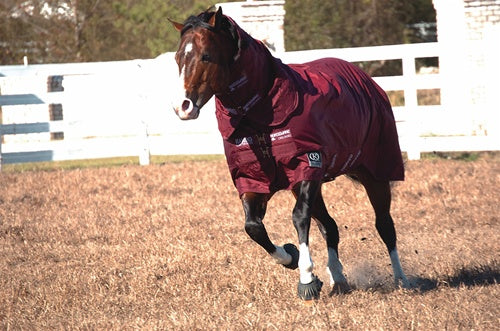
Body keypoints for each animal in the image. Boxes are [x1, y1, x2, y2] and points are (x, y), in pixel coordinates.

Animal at [169, 7, 410, 300]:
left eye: (206, 55)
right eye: (178, 57)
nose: (182, 106)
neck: (260, 114)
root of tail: (364, 76)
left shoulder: (307, 165)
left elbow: (298, 217)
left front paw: (306, 277)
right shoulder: (254, 179)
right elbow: (253, 227)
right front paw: (291, 257)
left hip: (374, 173)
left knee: (384, 225)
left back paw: (401, 279)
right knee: (329, 226)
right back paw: (338, 278)